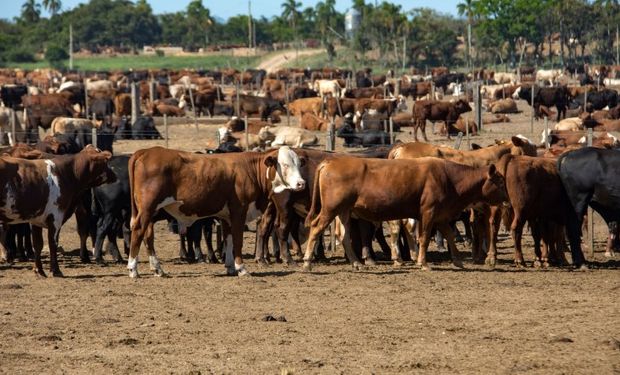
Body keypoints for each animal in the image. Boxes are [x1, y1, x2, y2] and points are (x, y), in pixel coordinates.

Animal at [0, 146, 115, 276]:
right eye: (105, 162)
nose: (114, 174)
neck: (67, 173)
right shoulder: (56, 217)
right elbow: (53, 243)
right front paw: (56, 270)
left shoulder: (36, 219)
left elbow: (38, 244)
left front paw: (39, 270)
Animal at [126, 147, 308, 280]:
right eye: (285, 164)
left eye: (299, 164)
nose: (301, 183)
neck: (250, 171)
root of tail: (145, 151)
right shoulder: (238, 212)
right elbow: (238, 241)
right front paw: (242, 268)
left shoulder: (226, 216)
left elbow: (228, 240)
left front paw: (230, 267)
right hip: (148, 208)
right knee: (138, 231)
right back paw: (133, 269)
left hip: (151, 212)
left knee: (148, 235)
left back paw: (158, 269)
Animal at [302, 157, 508, 272]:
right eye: (499, 181)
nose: (507, 200)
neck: (449, 177)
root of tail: (330, 162)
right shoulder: (429, 211)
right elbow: (424, 237)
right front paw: (423, 263)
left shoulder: (440, 214)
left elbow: (449, 234)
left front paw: (458, 260)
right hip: (330, 209)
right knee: (316, 227)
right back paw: (307, 263)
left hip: (344, 210)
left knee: (343, 236)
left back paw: (356, 263)